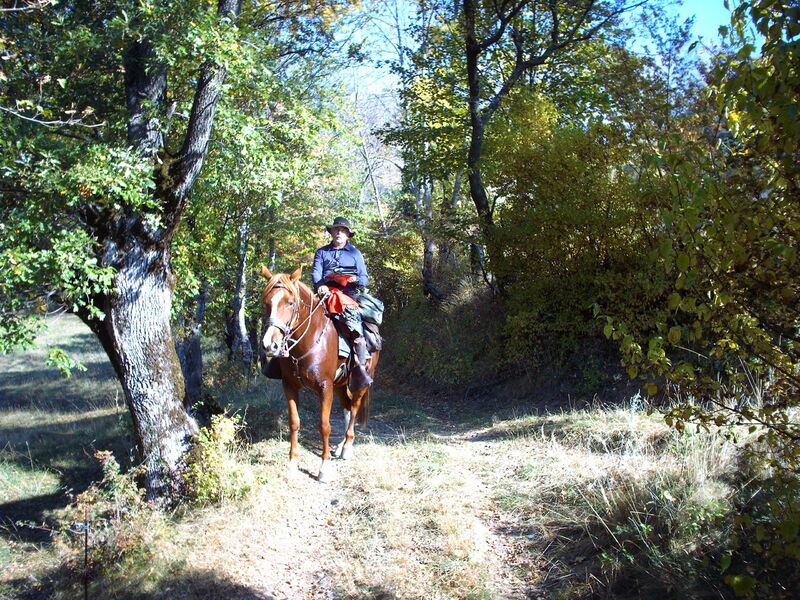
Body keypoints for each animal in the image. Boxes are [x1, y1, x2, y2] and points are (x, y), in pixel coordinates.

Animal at [260, 266, 379, 482]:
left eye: (290, 303)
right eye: (266, 302)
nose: (269, 345)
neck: (309, 340)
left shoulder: (325, 387)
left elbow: (324, 426)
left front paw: (324, 468)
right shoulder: (289, 386)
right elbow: (294, 422)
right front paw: (292, 464)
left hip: (360, 381)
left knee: (354, 407)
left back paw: (347, 446)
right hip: (340, 384)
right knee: (347, 407)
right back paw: (340, 446)